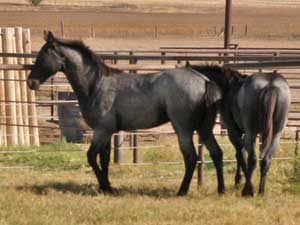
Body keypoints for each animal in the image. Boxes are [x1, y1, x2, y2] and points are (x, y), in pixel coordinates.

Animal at [27, 31, 225, 195]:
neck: (96, 84)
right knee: (216, 153)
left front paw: (106, 187)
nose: (31, 82)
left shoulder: (101, 131)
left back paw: (182, 191)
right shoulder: (107, 132)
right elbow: (104, 159)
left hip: (183, 129)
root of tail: (204, 80)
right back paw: (221, 190)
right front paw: (106, 187)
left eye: (43, 54)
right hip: (204, 128)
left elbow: (91, 157)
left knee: (191, 157)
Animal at [190, 64, 290, 196]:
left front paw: (241, 181)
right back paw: (261, 192)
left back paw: (247, 190)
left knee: (253, 159)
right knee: (266, 159)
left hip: (251, 133)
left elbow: (241, 155)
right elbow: (241, 155)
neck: (228, 87)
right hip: (275, 134)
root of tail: (270, 84)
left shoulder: (233, 131)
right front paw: (239, 180)